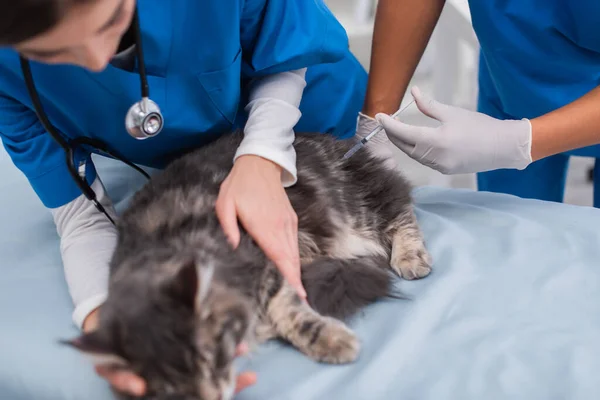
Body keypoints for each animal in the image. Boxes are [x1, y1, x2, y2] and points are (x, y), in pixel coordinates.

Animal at [67, 130, 432, 398]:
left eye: (210, 358)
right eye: (172, 392)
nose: (214, 395)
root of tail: (344, 145)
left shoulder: (270, 260)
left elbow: (292, 314)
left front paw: (332, 341)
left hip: (356, 206)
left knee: (400, 207)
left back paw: (410, 258)